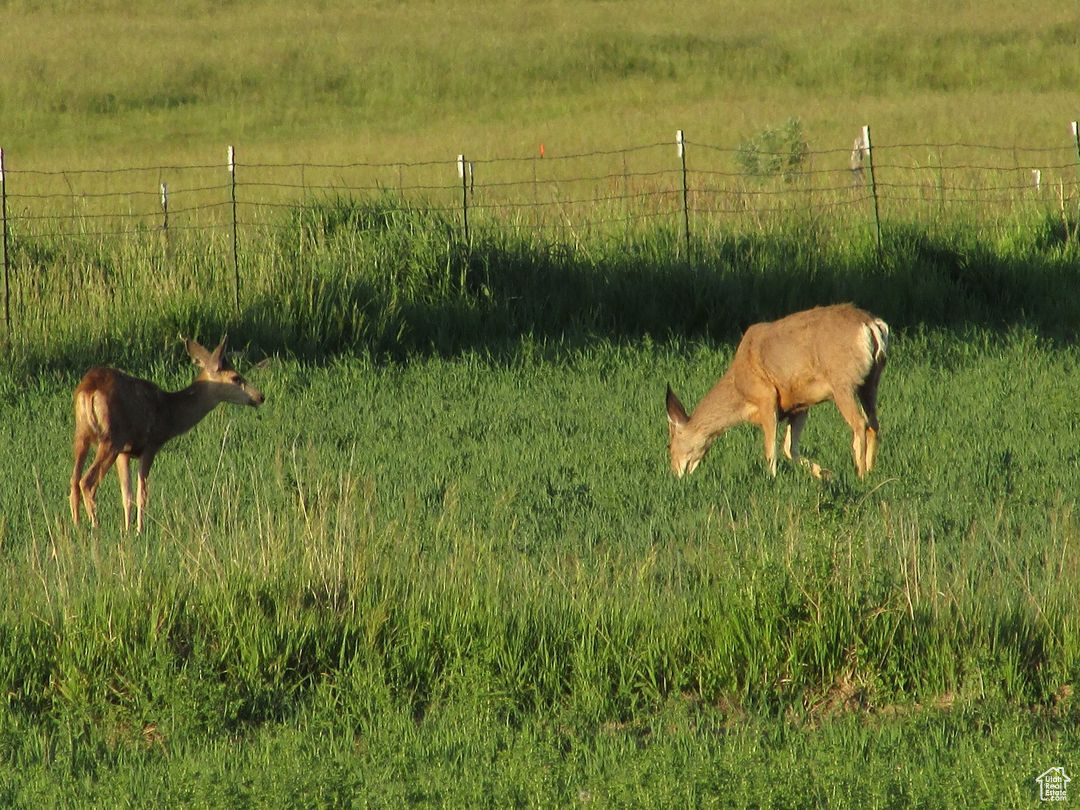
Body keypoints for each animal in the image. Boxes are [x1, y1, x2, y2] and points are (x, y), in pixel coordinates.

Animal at [70, 336, 263, 533]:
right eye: (236, 377)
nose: (260, 396)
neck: (169, 413)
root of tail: (88, 391)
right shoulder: (151, 444)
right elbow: (142, 494)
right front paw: (139, 530)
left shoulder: (125, 451)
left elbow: (127, 495)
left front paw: (127, 530)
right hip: (111, 438)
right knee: (87, 481)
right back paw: (95, 525)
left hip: (82, 434)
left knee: (74, 480)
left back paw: (77, 525)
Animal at [665, 304, 885, 481]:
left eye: (670, 445)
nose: (675, 473)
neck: (739, 388)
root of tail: (871, 324)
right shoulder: (800, 405)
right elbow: (789, 448)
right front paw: (825, 473)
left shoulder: (766, 397)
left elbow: (771, 450)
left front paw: (771, 479)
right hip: (870, 382)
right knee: (873, 423)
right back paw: (871, 471)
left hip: (842, 383)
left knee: (860, 423)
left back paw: (860, 474)